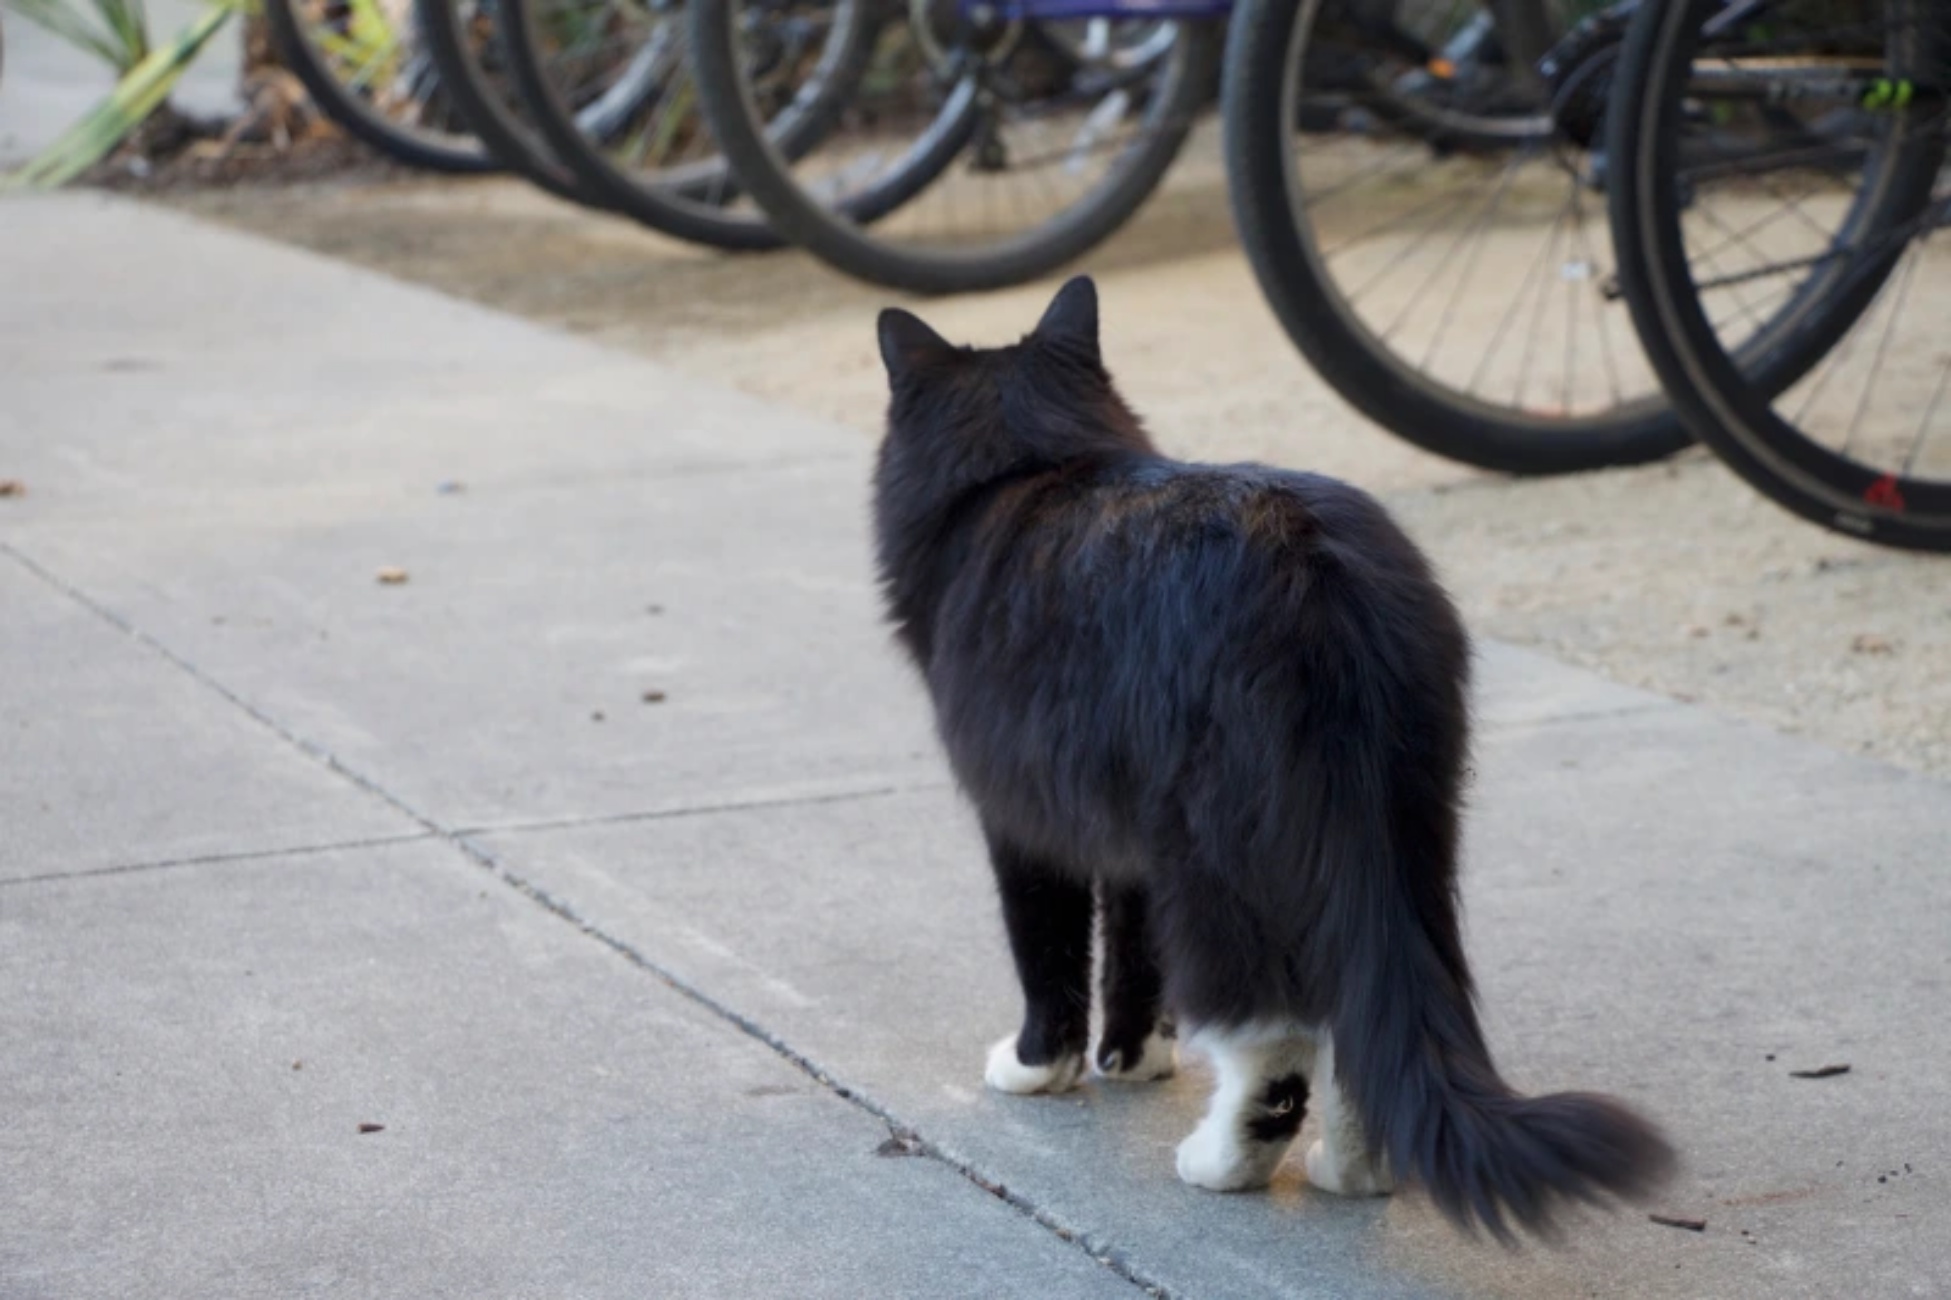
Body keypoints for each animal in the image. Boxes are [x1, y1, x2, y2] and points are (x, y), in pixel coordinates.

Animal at [874, 275, 1677, 1233]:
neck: (1030, 469)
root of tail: (1316, 575)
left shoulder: (1023, 819)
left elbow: (1050, 951)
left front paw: (1039, 1066)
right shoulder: (1129, 842)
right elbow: (1134, 956)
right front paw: (1132, 1060)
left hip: (1217, 859)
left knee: (1274, 1037)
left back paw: (1220, 1164)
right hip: (1394, 834)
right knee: (1359, 1019)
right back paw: (1351, 1173)